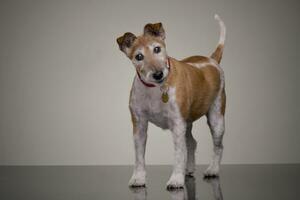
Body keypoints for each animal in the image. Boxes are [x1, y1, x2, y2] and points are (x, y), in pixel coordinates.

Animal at [116, 14, 226, 189]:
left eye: (157, 49)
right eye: (139, 57)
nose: (158, 74)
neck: (155, 89)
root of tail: (211, 60)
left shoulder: (177, 124)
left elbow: (179, 154)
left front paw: (176, 179)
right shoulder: (139, 126)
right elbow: (139, 157)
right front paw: (138, 178)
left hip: (216, 119)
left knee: (218, 146)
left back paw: (212, 169)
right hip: (188, 122)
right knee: (192, 143)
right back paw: (189, 169)